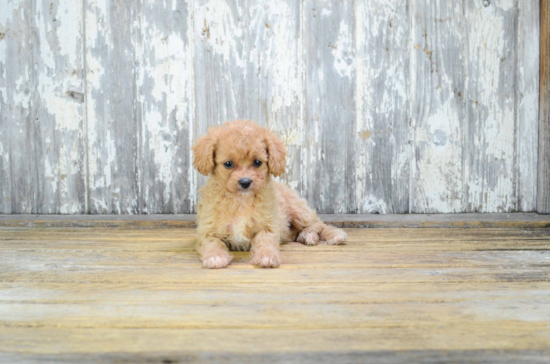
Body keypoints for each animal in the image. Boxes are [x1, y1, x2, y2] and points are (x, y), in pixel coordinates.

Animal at [194, 119, 348, 268]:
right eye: (228, 164)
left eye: (257, 162)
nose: (245, 182)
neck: (241, 200)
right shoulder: (208, 229)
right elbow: (213, 243)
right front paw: (215, 257)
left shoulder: (267, 226)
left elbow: (265, 241)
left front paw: (266, 256)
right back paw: (307, 236)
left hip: (299, 210)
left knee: (318, 224)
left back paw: (329, 235)